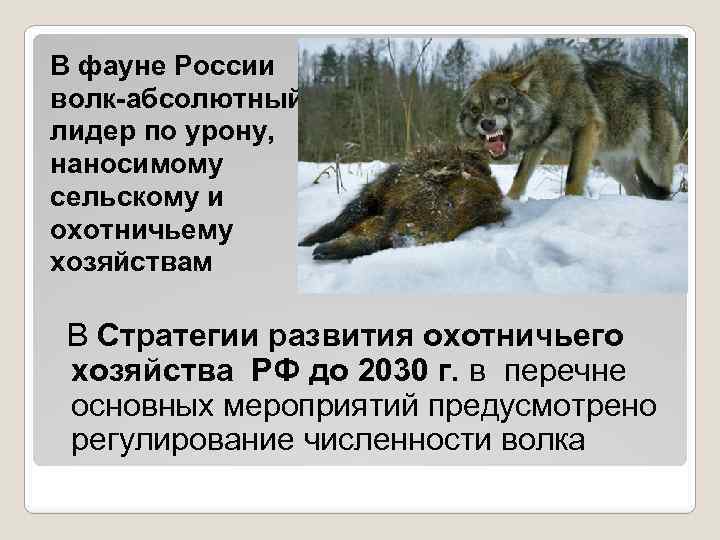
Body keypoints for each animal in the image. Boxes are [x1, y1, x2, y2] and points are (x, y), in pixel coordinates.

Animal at [457, 47, 681, 199]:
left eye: (501, 101)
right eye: (475, 110)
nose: (487, 123)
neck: (549, 94)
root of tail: (665, 93)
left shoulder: (585, 130)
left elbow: (573, 177)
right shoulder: (538, 144)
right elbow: (520, 177)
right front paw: (509, 201)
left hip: (654, 168)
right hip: (616, 169)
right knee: (636, 192)